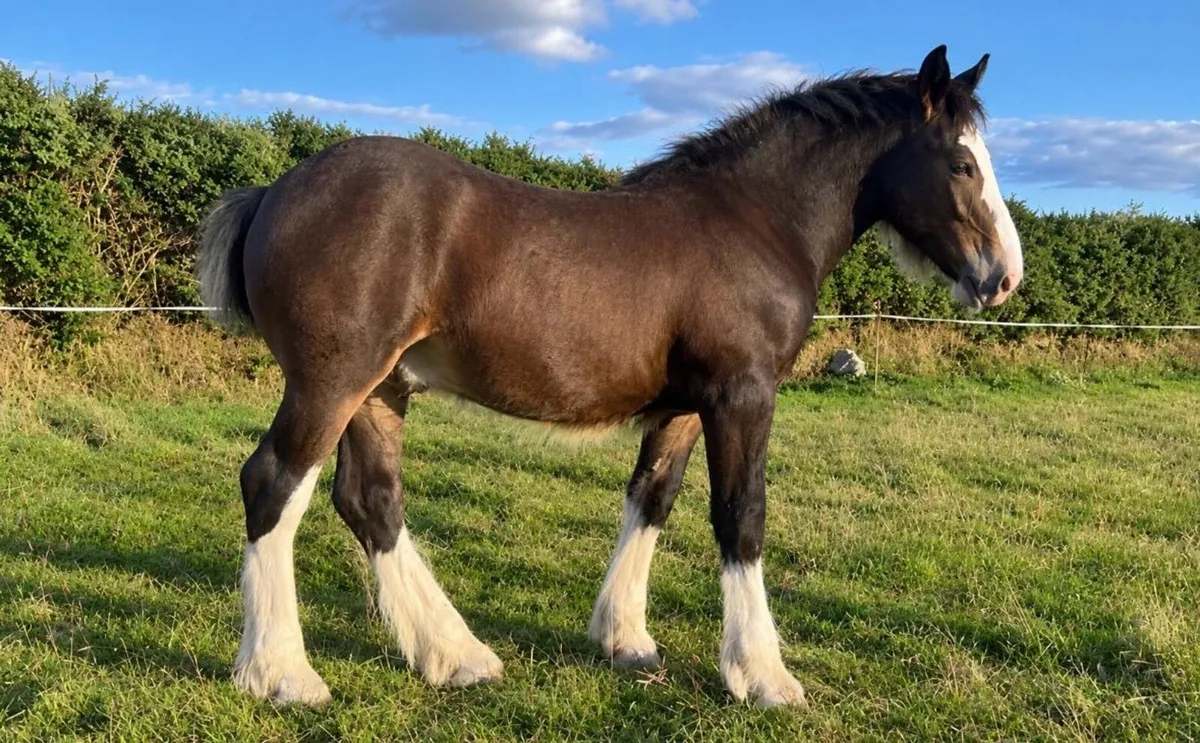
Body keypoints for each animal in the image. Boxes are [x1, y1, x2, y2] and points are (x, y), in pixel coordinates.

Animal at [196, 44, 1023, 709]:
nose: (1004, 277)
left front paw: (625, 637)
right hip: (332, 382)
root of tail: (272, 192)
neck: (753, 220)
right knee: (273, 484)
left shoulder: (685, 406)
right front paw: (762, 674)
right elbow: (741, 515)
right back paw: (281, 673)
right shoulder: (743, 394)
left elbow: (652, 497)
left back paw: (455, 655)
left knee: (370, 500)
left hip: (381, 389)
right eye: (962, 162)